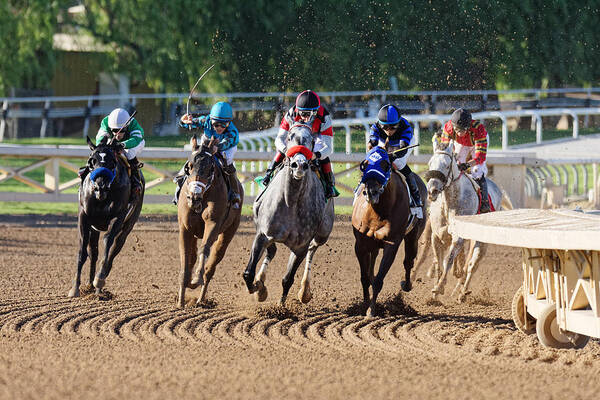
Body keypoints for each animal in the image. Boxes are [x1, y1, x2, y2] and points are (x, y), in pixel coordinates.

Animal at [67, 136, 145, 296]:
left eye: (113, 161)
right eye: (92, 161)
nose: (100, 186)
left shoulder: (118, 216)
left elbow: (108, 242)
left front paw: (100, 279)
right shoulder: (84, 217)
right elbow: (83, 251)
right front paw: (75, 288)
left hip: (129, 223)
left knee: (115, 246)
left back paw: (99, 283)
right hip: (95, 227)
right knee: (94, 252)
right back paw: (90, 285)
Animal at [177, 136, 243, 308]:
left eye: (210, 168)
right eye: (189, 166)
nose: (193, 197)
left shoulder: (213, 223)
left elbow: (205, 249)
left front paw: (196, 278)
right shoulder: (185, 228)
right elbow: (185, 258)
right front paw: (180, 301)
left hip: (228, 232)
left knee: (211, 266)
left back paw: (201, 298)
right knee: (192, 257)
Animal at [243, 123, 336, 304]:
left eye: (312, 140)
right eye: (289, 137)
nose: (299, 164)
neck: (290, 201)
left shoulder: (300, 246)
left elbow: (288, 278)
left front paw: (281, 305)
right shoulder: (262, 234)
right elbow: (248, 273)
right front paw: (257, 287)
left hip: (323, 233)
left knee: (312, 250)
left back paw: (305, 291)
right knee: (271, 251)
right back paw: (261, 282)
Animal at [352, 146, 426, 316]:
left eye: (385, 165)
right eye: (365, 164)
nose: (371, 192)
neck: (378, 211)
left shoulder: (392, 244)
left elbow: (379, 280)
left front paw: (371, 310)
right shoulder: (360, 244)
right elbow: (364, 278)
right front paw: (364, 305)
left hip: (413, 236)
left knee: (408, 262)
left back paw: (406, 284)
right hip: (372, 245)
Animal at [424, 136, 512, 302]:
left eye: (446, 165)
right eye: (430, 163)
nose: (432, 190)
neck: (450, 203)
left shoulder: (458, 238)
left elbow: (448, 260)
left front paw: (439, 287)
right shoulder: (437, 236)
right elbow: (439, 262)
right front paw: (434, 294)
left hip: (482, 240)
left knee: (472, 265)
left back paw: (462, 293)